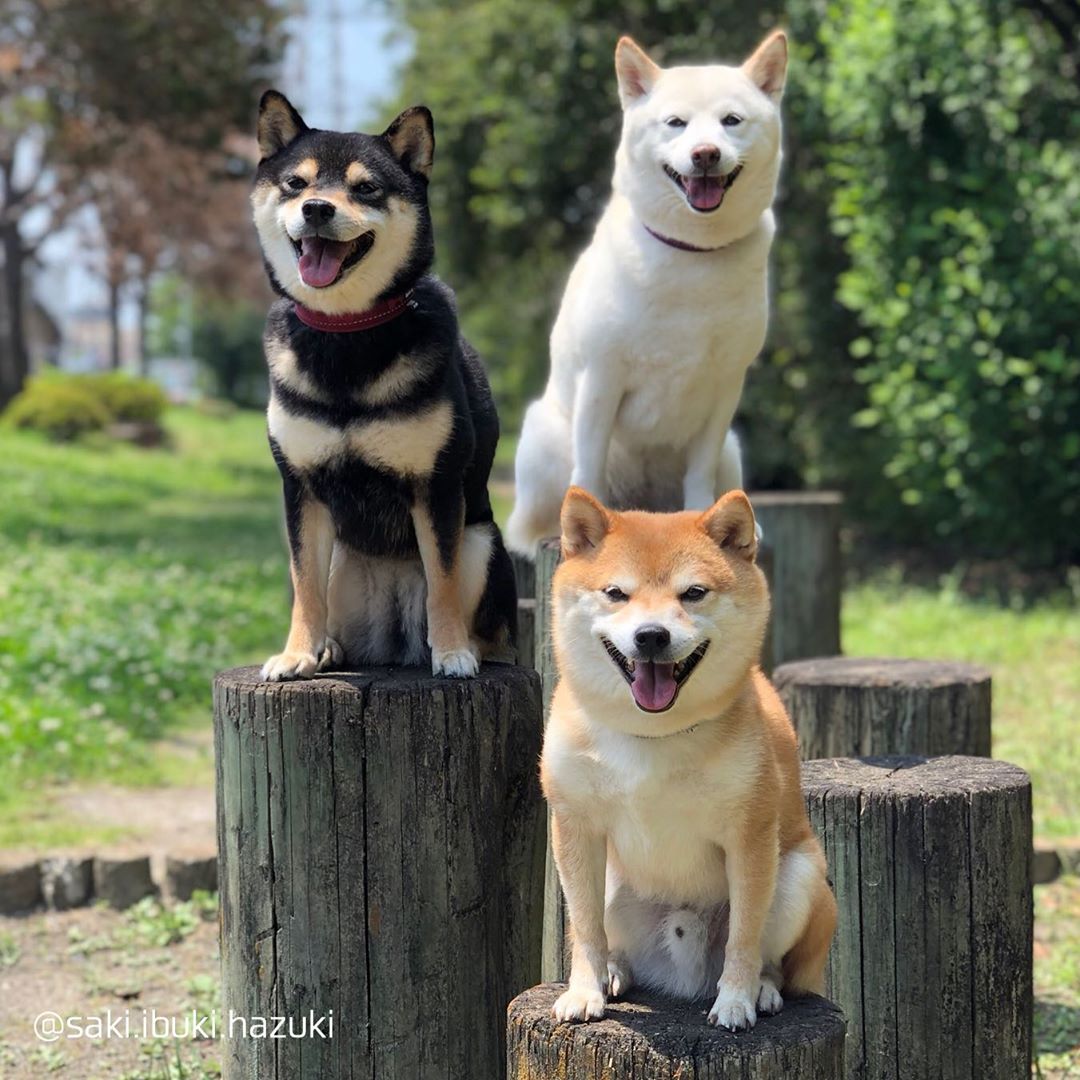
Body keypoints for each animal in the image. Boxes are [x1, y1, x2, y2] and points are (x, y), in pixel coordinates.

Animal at [254, 95, 520, 682]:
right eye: (295, 183)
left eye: (367, 188)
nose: (317, 209)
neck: (346, 333)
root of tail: (395, 644)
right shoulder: (301, 487)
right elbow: (303, 585)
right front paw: (296, 654)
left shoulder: (436, 485)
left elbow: (442, 582)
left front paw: (452, 654)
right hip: (342, 558)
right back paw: (329, 648)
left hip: (482, 541)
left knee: (490, 624)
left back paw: (468, 647)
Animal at [505, 33, 786, 557]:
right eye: (675, 123)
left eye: (731, 120)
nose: (705, 154)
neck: (692, 254)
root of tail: (645, 502)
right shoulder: (602, 375)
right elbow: (588, 467)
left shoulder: (725, 386)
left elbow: (700, 471)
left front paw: (703, 515)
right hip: (540, 440)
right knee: (531, 522)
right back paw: (545, 534)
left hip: (731, 453)